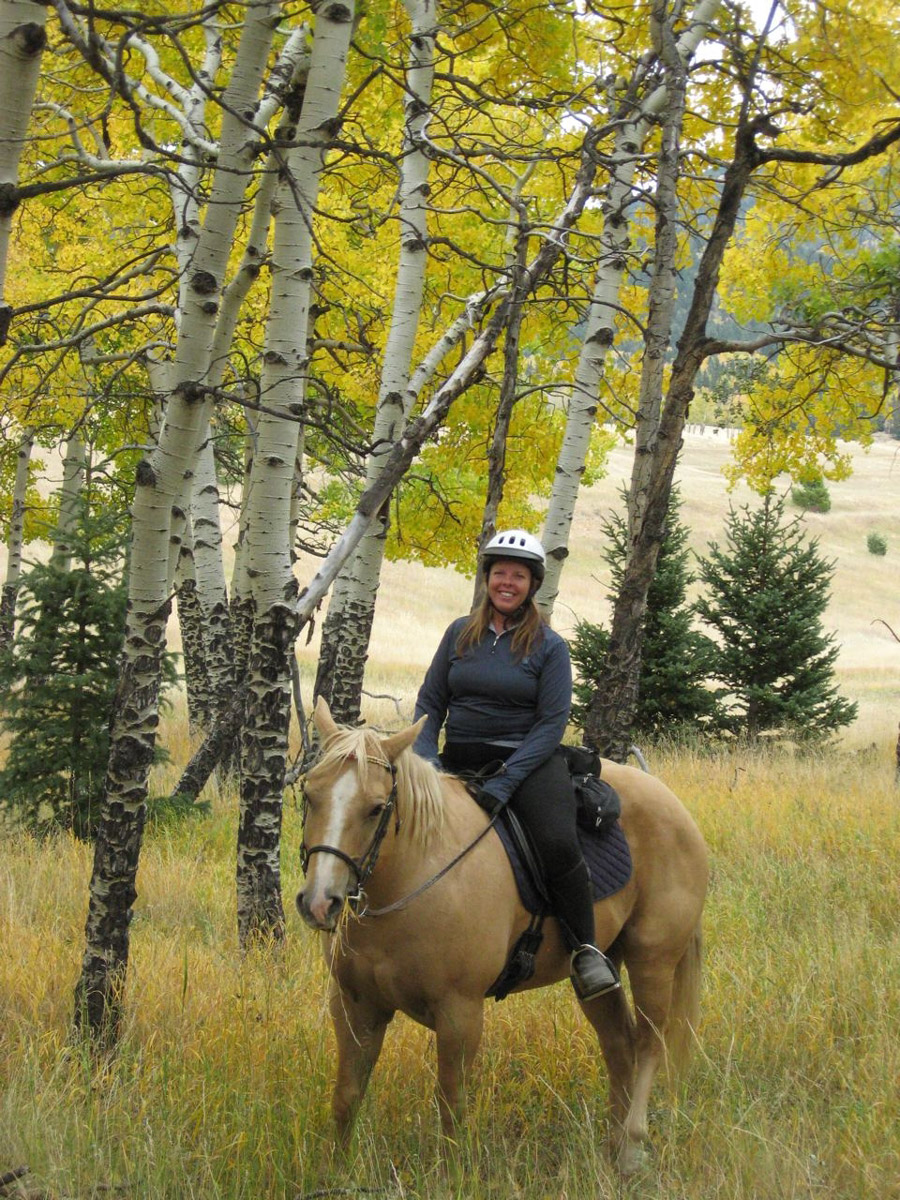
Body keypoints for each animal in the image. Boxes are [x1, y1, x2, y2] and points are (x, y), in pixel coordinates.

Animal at [300, 700, 710, 1176]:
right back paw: (610, 1149)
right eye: (309, 795)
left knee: (648, 1042)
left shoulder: (459, 1012)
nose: (319, 902)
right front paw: (336, 1173)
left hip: (654, 960)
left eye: (375, 807)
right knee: (619, 1044)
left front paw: (451, 1178)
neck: (413, 878)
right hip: (599, 971)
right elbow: (346, 1098)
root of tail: (675, 806)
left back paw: (630, 1148)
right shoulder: (353, 1006)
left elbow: (451, 1104)